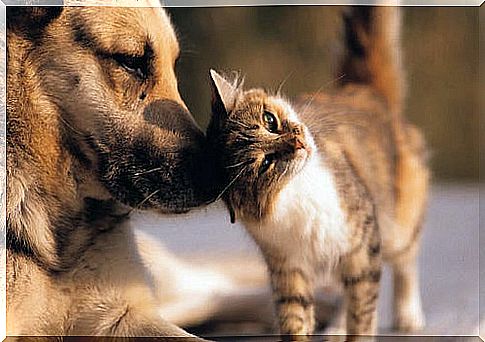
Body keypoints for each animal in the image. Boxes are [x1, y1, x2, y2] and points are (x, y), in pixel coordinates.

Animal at [206, 6, 430, 342]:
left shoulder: (363, 246)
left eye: (270, 121)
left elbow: (363, 313)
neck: (298, 192)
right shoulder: (289, 268)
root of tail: (364, 91)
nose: (299, 143)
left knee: (406, 262)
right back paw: (335, 329)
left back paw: (408, 316)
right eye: (266, 163)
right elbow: (295, 318)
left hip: (398, 225)